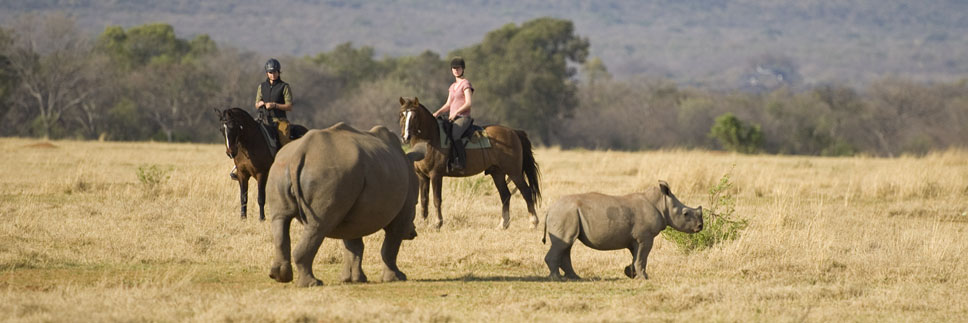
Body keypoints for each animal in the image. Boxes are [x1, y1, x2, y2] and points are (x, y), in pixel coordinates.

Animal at [398, 97, 540, 230]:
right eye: (402, 114)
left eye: (415, 116)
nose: (405, 137)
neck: (430, 140)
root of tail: (514, 132)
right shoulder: (422, 176)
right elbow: (424, 200)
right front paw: (423, 223)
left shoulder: (435, 175)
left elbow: (436, 199)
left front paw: (438, 224)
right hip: (497, 173)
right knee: (505, 195)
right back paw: (503, 225)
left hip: (514, 172)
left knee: (526, 192)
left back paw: (533, 223)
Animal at [540, 180, 700, 280]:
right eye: (686, 214)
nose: (700, 226)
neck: (661, 203)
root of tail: (549, 209)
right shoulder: (645, 237)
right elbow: (642, 257)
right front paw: (644, 277)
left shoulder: (636, 238)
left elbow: (637, 256)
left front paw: (630, 273)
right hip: (564, 213)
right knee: (563, 244)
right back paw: (557, 278)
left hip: (567, 213)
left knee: (566, 245)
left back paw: (574, 277)